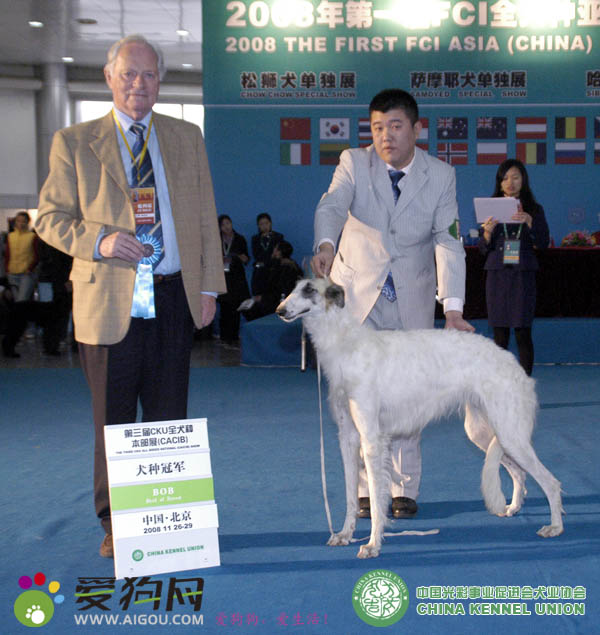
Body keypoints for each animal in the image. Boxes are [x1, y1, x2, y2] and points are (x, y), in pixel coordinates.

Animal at [276, 278, 564, 558]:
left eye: (309, 289)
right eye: (292, 288)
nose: (280, 310)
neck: (346, 345)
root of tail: (514, 364)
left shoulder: (372, 439)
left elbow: (377, 498)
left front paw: (373, 544)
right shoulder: (348, 438)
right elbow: (350, 496)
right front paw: (345, 534)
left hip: (509, 433)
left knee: (551, 482)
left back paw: (555, 527)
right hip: (485, 432)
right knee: (519, 472)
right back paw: (513, 507)